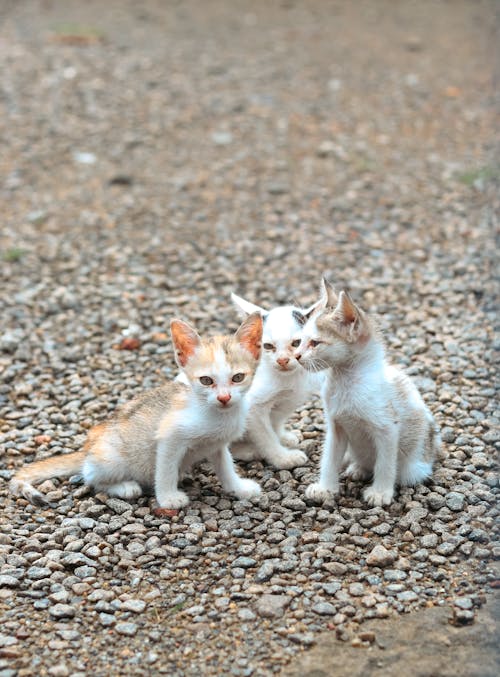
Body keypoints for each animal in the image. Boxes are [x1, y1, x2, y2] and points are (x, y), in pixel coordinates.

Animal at [9, 314, 264, 510]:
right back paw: (124, 487)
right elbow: (165, 470)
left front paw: (238, 488)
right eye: (206, 380)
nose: (224, 398)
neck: (217, 414)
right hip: (111, 459)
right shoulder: (169, 437)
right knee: (90, 477)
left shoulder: (217, 444)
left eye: (238, 378)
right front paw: (168, 498)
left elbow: (225, 466)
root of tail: (87, 449)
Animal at [229, 290, 322, 470]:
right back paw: (248, 451)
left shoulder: (290, 398)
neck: (288, 379)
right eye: (268, 346)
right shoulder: (253, 407)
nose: (282, 360)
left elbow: (276, 420)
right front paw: (283, 458)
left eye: (296, 343)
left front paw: (282, 436)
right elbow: (266, 436)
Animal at [294, 278, 440, 504]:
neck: (345, 382)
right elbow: (330, 458)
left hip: (415, 467)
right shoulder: (336, 426)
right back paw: (359, 468)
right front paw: (325, 488)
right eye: (300, 341)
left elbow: (385, 463)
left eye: (315, 343)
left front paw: (380, 493)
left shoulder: (387, 429)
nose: (296, 355)